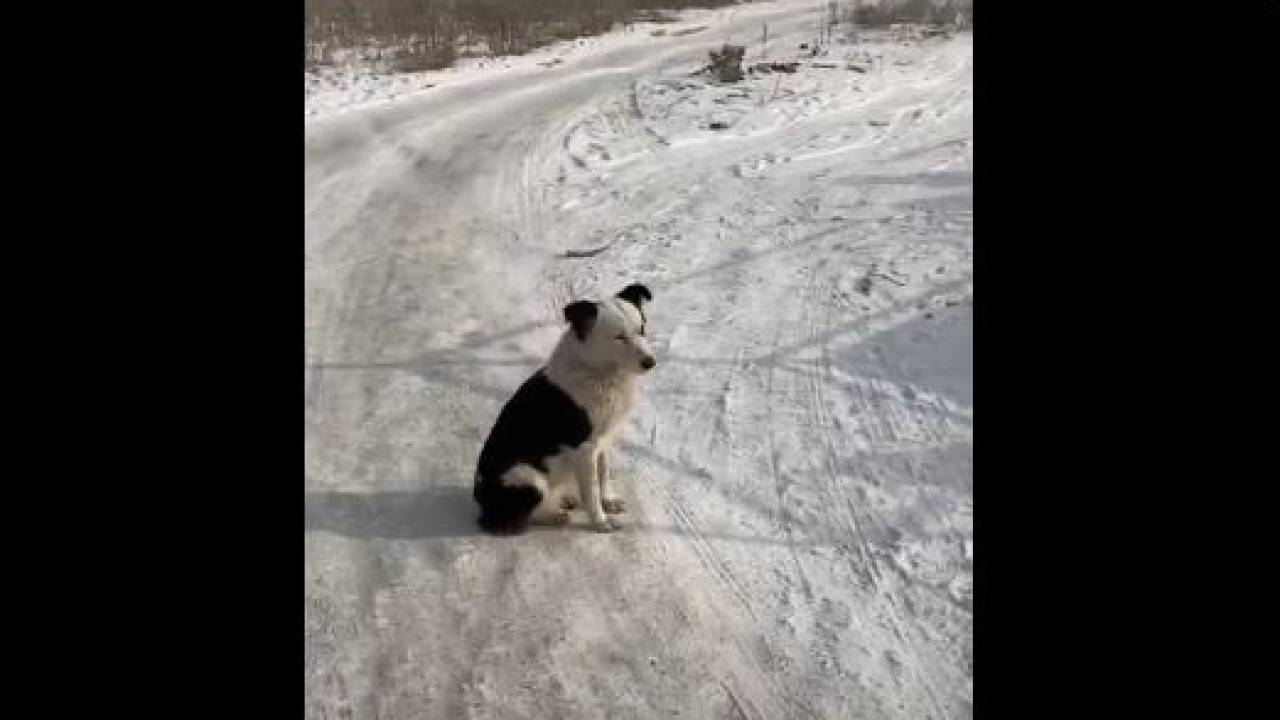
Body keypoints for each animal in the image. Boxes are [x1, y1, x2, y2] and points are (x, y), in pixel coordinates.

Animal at [478, 281, 660, 532]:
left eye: (641, 329)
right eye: (619, 337)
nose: (651, 362)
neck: (598, 374)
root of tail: (480, 500)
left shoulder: (604, 440)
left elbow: (603, 474)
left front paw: (608, 501)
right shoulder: (585, 448)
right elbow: (591, 491)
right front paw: (600, 521)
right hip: (527, 476)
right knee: (516, 516)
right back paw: (554, 515)